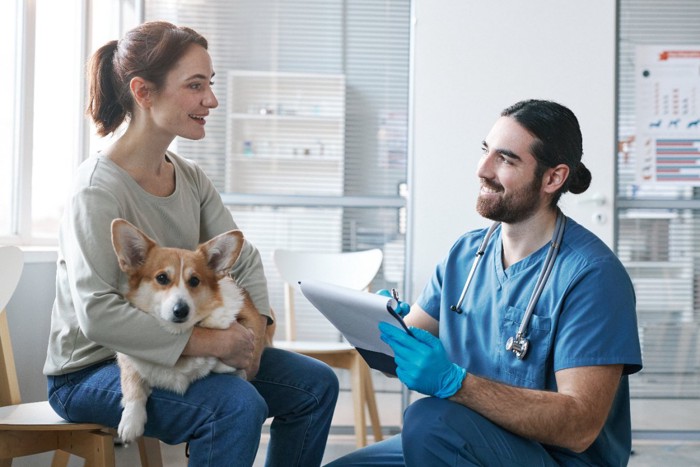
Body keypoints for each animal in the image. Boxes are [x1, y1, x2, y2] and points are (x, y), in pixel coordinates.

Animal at [110, 218, 264, 444]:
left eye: (194, 281)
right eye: (162, 278)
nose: (181, 310)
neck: (179, 332)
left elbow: (223, 364)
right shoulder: (128, 358)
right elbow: (132, 384)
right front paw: (130, 422)